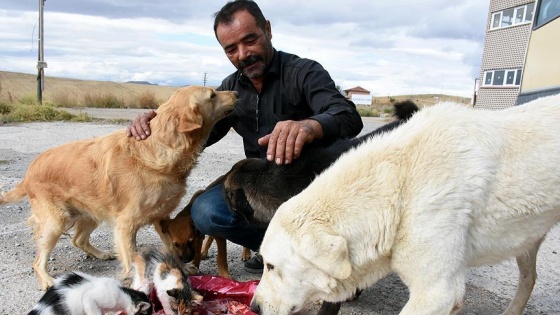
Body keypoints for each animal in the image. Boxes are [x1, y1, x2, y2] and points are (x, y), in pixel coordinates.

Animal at [0, 86, 236, 292]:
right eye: (213, 95)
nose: (235, 93)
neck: (157, 146)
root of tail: (30, 170)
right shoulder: (126, 225)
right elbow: (132, 256)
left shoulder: (160, 217)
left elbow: (170, 245)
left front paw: (184, 267)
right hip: (55, 222)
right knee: (38, 260)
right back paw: (47, 279)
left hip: (90, 212)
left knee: (78, 239)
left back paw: (101, 254)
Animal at [252, 94, 560, 315]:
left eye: (271, 266)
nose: (254, 307)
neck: (399, 188)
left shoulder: (436, 293)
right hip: (526, 240)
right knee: (529, 278)